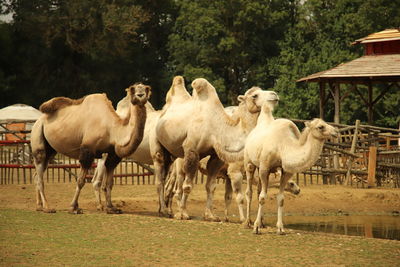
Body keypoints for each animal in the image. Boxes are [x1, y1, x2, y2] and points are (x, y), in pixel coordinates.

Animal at [30, 82, 151, 215]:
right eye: (133, 89)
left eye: (146, 89)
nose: (140, 95)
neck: (112, 130)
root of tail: (38, 120)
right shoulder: (87, 151)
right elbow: (80, 181)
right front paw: (73, 208)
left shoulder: (113, 155)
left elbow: (109, 183)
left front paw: (111, 208)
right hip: (38, 137)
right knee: (39, 173)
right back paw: (47, 207)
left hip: (51, 150)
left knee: (37, 174)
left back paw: (39, 206)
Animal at [150, 77, 278, 222]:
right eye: (254, 95)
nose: (274, 95)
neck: (217, 128)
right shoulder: (192, 150)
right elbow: (187, 186)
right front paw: (182, 214)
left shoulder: (216, 157)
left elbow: (211, 187)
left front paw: (210, 215)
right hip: (158, 146)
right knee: (161, 179)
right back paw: (164, 211)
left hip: (171, 154)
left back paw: (163, 210)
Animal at [242, 104, 340, 234]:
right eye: (320, 126)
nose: (336, 132)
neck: (283, 147)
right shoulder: (264, 167)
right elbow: (262, 197)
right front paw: (256, 228)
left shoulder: (286, 172)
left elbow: (280, 199)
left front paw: (280, 228)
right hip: (249, 163)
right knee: (250, 191)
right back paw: (247, 223)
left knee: (258, 190)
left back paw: (263, 223)